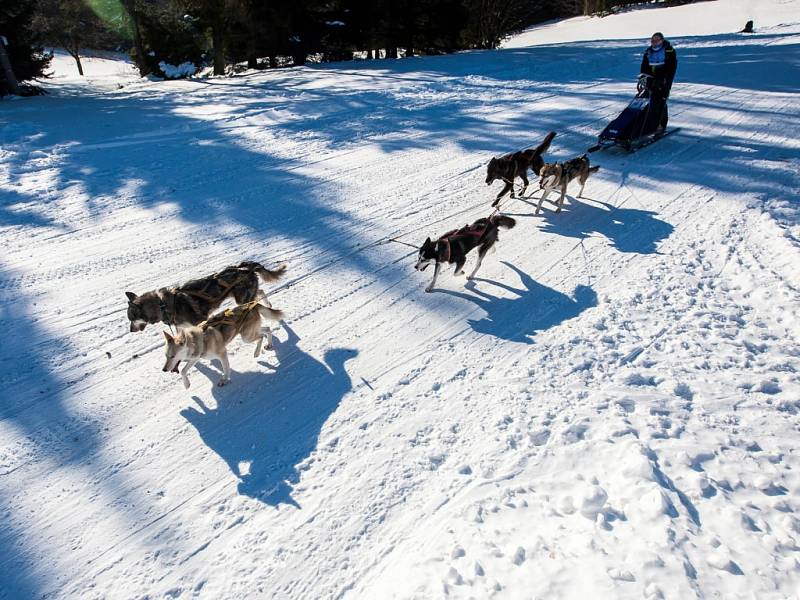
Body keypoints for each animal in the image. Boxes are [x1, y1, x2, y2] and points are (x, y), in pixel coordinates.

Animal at [126, 258, 286, 332]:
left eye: (132, 318)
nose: (131, 330)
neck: (162, 305)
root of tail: (243, 267)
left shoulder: (200, 321)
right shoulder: (182, 327)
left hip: (242, 298)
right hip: (244, 296)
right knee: (260, 292)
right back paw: (268, 303)